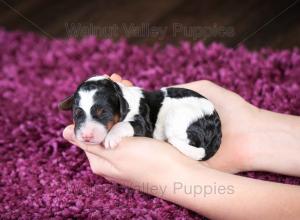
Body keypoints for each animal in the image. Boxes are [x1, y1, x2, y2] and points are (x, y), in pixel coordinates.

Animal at [59, 75, 221, 160]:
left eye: (103, 113)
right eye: (77, 114)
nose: (86, 136)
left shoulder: (143, 124)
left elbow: (123, 125)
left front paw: (111, 137)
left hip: (180, 117)